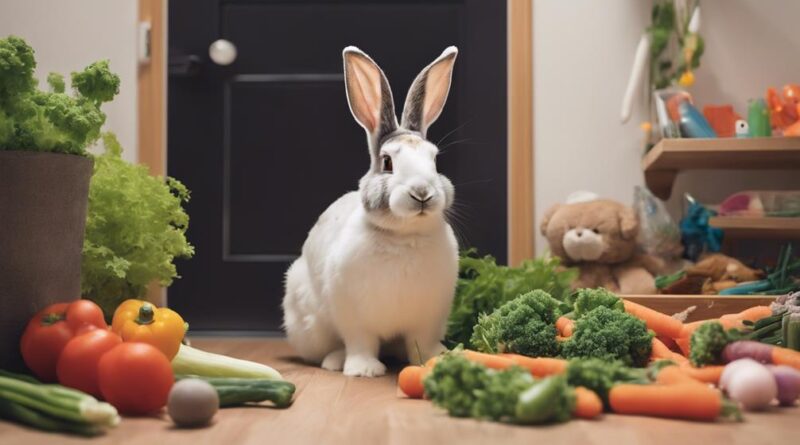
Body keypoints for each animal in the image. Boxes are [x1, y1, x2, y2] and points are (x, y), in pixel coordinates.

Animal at [282, 46, 460, 376]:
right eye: (387, 162)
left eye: (434, 160)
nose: (422, 193)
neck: (404, 237)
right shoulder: (353, 316)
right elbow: (360, 342)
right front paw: (364, 370)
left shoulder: (428, 319)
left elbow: (422, 342)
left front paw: (434, 358)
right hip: (310, 326)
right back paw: (335, 362)